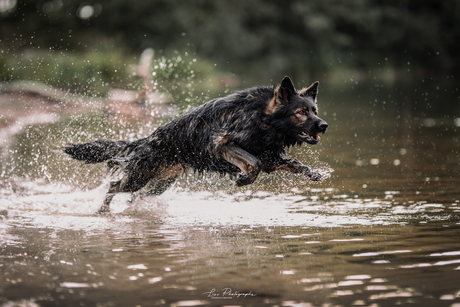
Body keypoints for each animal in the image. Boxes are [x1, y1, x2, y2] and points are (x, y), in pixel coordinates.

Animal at [65, 76, 330, 213]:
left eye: (314, 111)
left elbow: (293, 163)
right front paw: (243, 179)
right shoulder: (222, 144)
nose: (324, 125)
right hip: (139, 176)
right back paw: (102, 210)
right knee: (114, 185)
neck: (262, 118)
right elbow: (252, 163)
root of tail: (150, 138)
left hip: (159, 184)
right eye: (301, 112)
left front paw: (314, 173)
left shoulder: (270, 158)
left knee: (135, 196)